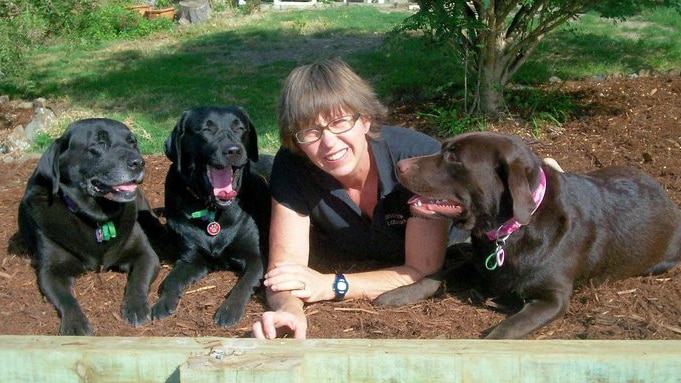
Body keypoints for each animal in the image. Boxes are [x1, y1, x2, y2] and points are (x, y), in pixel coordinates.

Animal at [19, 118, 160, 336]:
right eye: (99, 143)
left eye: (132, 142)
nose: (138, 162)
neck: (97, 218)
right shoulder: (50, 271)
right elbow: (67, 299)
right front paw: (75, 324)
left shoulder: (145, 254)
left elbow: (138, 279)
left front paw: (136, 306)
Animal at [153, 106, 270, 328]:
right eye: (206, 130)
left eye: (240, 128)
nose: (233, 150)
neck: (213, 209)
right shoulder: (191, 259)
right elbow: (171, 280)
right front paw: (162, 303)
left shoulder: (256, 257)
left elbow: (244, 284)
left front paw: (229, 310)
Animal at [378, 131, 680, 340]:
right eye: (443, 148)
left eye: (454, 156)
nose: (400, 166)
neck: (508, 232)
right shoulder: (475, 264)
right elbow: (435, 277)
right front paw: (397, 294)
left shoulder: (553, 299)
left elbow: (507, 328)